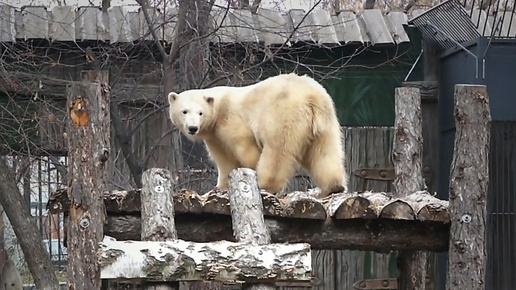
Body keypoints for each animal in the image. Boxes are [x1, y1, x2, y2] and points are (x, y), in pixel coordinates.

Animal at [168, 73, 346, 198]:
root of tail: (312, 98)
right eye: (184, 111)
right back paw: (333, 187)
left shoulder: (231, 120)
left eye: (200, 112)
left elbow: (244, 149)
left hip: (283, 116)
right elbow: (224, 160)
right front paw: (220, 187)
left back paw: (265, 185)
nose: (192, 128)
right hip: (326, 121)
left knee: (277, 151)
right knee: (324, 153)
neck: (219, 107)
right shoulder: (214, 136)